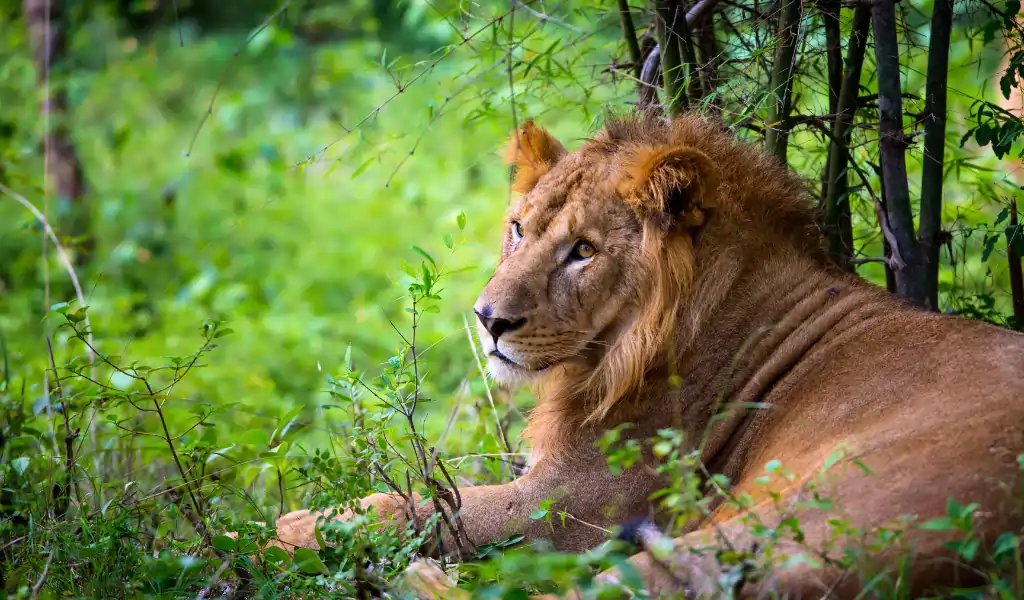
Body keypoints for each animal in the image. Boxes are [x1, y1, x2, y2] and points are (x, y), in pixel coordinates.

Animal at [270, 112, 1024, 598]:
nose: (488, 320)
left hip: (797, 520)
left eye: (583, 250)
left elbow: (432, 509)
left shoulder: (576, 502)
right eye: (519, 230)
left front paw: (300, 525)